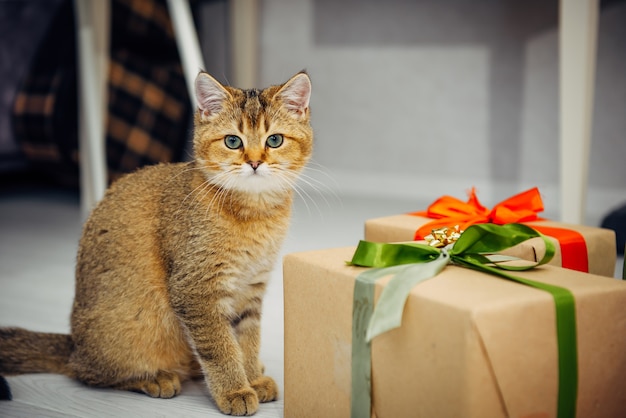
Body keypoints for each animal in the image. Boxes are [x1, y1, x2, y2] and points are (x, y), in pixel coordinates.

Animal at [0, 71, 312, 414]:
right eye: (233, 141)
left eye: (274, 140)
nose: (255, 162)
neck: (254, 214)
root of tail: (73, 344)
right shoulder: (195, 290)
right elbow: (220, 348)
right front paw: (234, 390)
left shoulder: (251, 289)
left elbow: (247, 340)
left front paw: (252, 377)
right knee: (88, 373)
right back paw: (154, 378)